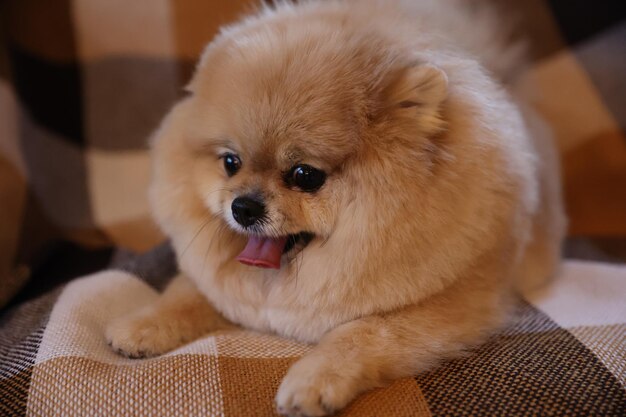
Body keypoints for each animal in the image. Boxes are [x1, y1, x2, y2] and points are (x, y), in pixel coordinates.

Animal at [107, 1, 564, 414]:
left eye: (305, 175)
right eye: (230, 163)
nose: (243, 207)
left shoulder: (452, 304)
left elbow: (362, 333)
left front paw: (313, 380)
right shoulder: (215, 283)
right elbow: (184, 293)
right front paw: (140, 326)